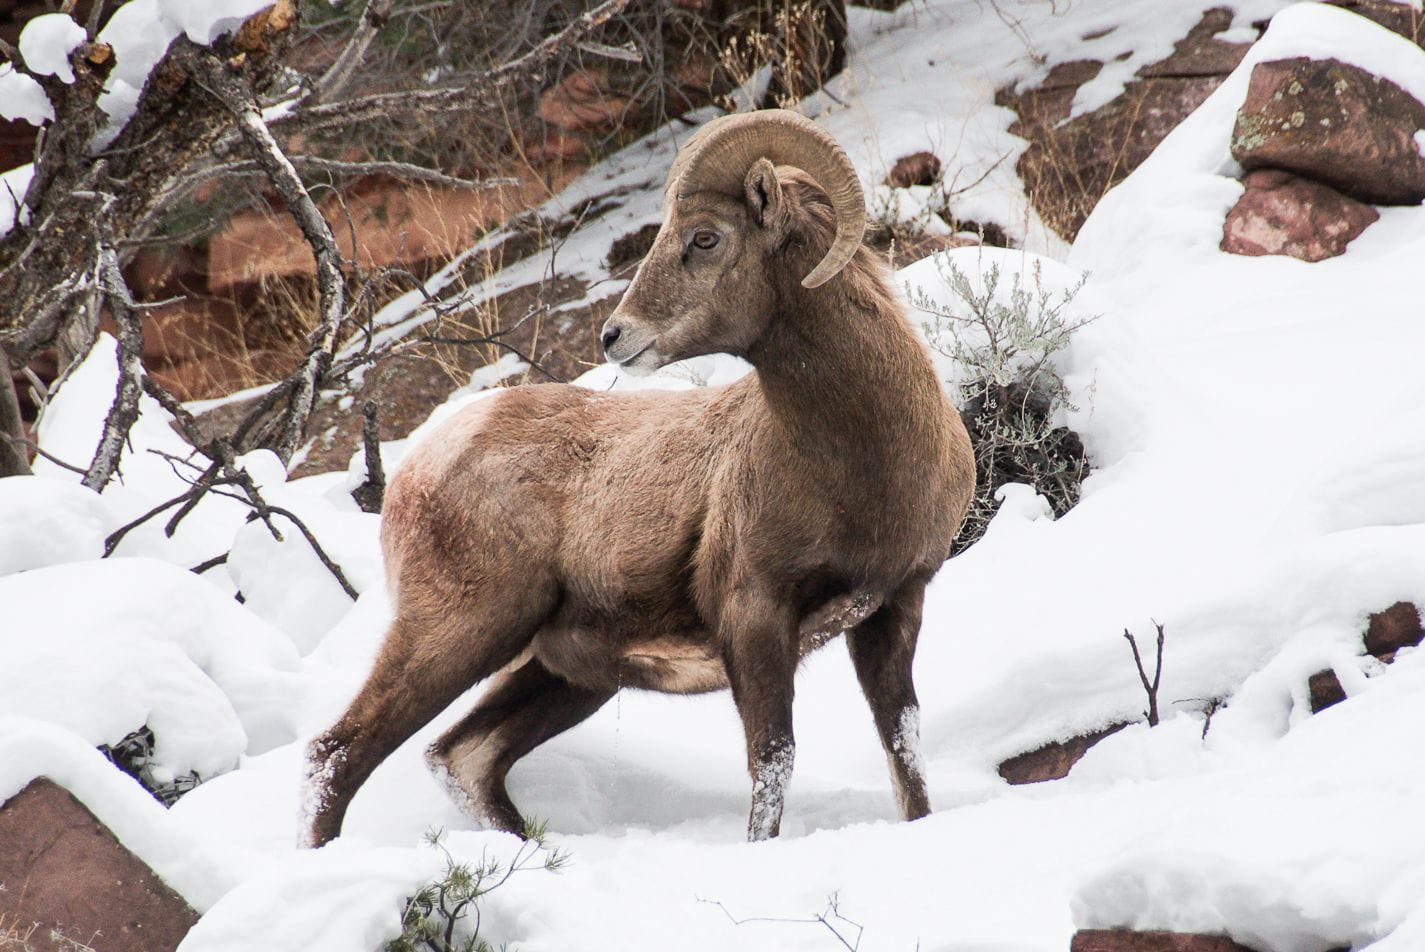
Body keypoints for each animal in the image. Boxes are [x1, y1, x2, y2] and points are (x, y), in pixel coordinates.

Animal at [304, 107, 974, 843]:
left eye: (704, 238)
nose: (614, 337)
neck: (859, 467)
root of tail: (417, 466)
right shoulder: (755, 618)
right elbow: (772, 760)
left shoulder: (894, 606)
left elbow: (902, 747)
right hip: (456, 633)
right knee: (339, 753)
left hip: (564, 677)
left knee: (462, 757)